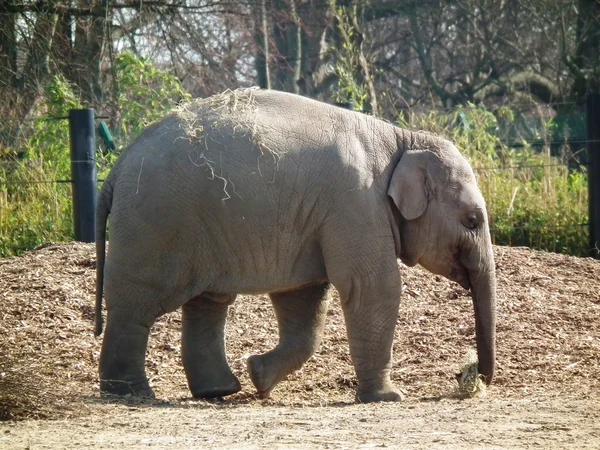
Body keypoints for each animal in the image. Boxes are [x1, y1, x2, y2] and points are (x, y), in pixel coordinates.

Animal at [95, 86, 496, 402]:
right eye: (472, 220)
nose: (471, 375)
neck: (402, 140)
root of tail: (117, 168)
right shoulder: (355, 207)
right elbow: (371, 287)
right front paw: (389, 398)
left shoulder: (318, 222)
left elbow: (304, 298)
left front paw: (258, 375)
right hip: (156, 224)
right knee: (136, 304)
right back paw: (132, 393)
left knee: (208, 301)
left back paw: (219, 391)